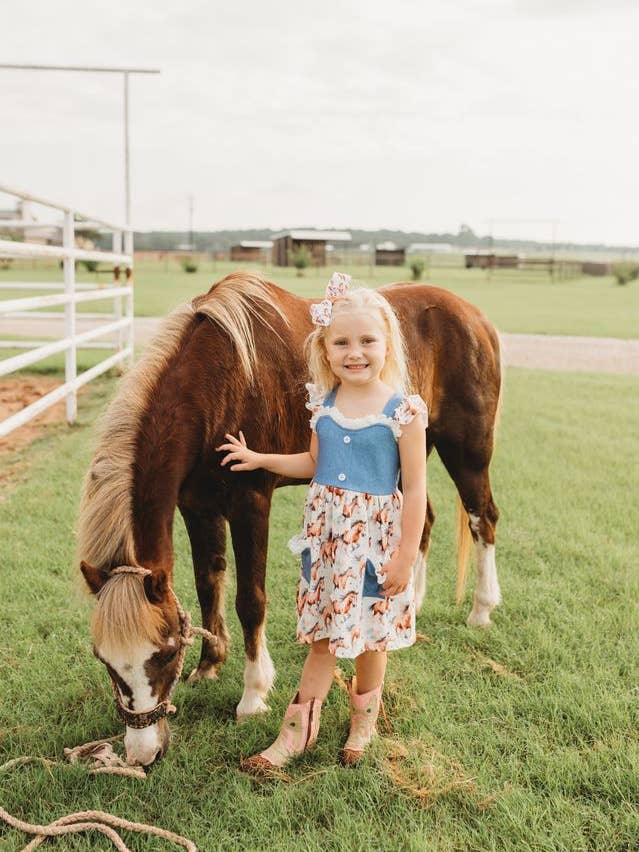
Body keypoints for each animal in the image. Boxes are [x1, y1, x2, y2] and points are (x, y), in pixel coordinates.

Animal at [77, 271, 501, 765]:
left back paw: (481, 609)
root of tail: (474, 316)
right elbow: (208, 582)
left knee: (482, 517)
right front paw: (208, 665)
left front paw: (253, 695)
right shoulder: (196, 505)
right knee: (422, 521)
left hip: (467, 449)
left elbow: (250, 600)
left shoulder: (250, 503)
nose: (143, 753)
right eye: (105, 661)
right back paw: (410, 601)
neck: (221, 378)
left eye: (162, 655)